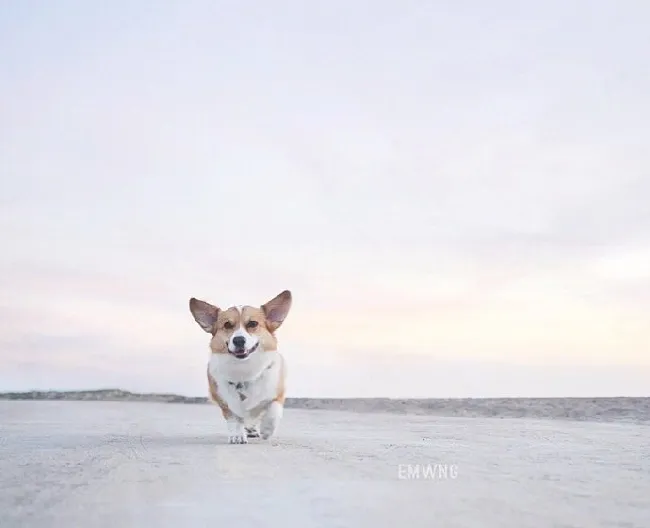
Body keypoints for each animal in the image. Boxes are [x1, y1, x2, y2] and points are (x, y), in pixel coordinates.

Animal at [186, 290, 290, 444]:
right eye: (227, 325)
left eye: (253, 323)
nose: (239, 340)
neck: (244, 369)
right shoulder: (225, 402)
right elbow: (234, 419)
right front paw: (237, 435)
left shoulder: (278, 393)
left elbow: (273, 409)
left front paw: (267, 429)